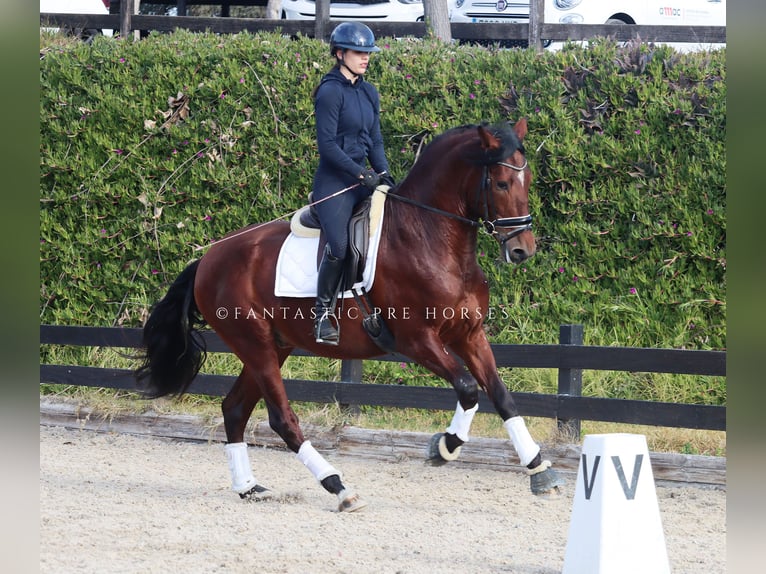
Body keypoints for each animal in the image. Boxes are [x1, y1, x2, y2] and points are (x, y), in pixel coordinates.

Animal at [134, 120, 564, 512]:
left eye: (527, 181)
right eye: (502, 184)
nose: (523, 250)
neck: (430, 236)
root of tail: (209, 258)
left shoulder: (469, 334)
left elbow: (502, 396)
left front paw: (540, 472)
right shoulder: (417, 340)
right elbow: (469, 389)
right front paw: (444, 446)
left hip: (273, 346)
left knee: (235, 409)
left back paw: (250, 488)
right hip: (253, 344)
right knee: (282, 419)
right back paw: (340, 488)